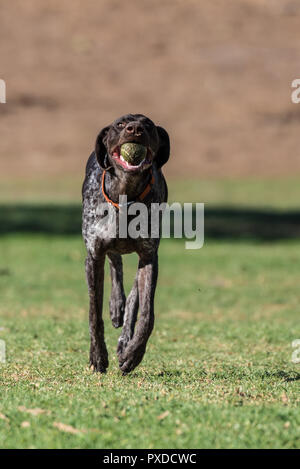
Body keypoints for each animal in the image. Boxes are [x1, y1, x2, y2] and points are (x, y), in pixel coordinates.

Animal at [82, 113, 170, 372]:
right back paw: (115, 305)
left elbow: (147, 314)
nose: (135, 129)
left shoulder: (149, 257)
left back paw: (124, 338)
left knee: (133, 295)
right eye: (119, 125)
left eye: (148, 125)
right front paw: (97, 356)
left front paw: (133, 354)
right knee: (116, 263)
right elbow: (94, 313)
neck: (126, 193)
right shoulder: (94, 255)